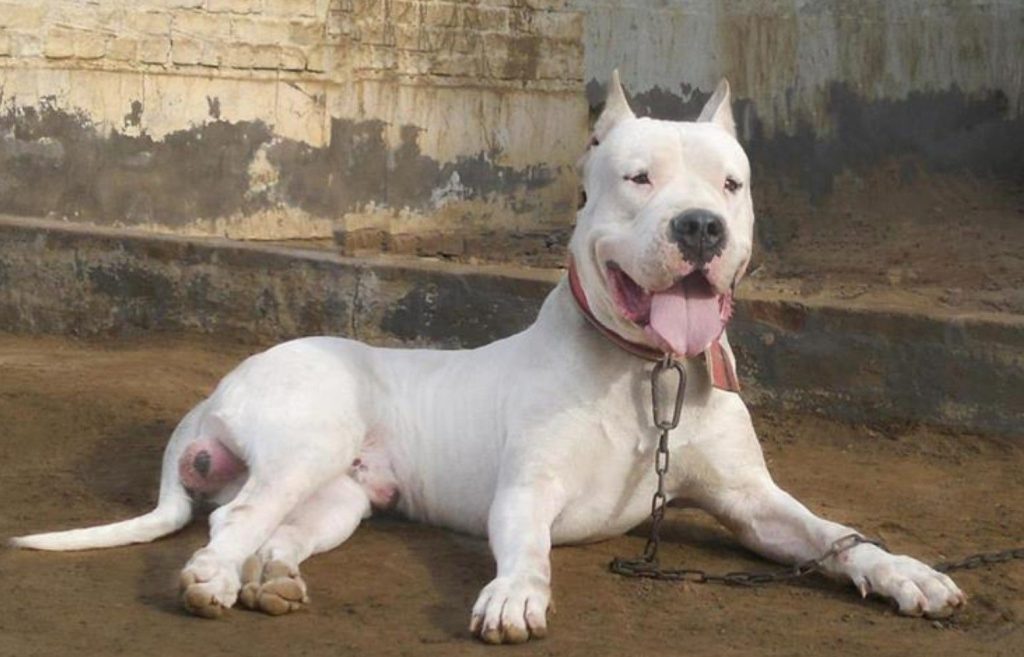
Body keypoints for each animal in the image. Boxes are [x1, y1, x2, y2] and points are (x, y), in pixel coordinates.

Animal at [12, 71, 962, 638]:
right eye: (639, 178)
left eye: (732, 185)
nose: (701, 228)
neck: (643, 371)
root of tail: (214, 391)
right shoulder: (527, 490)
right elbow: (528, 546)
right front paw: (515, 593)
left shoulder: (755, 501)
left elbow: (835, 534)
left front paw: (907, 572)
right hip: (308, 435)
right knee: (229, 522)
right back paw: (211, 581)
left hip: (340, 497)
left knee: (273, 533)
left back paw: (270, 580)